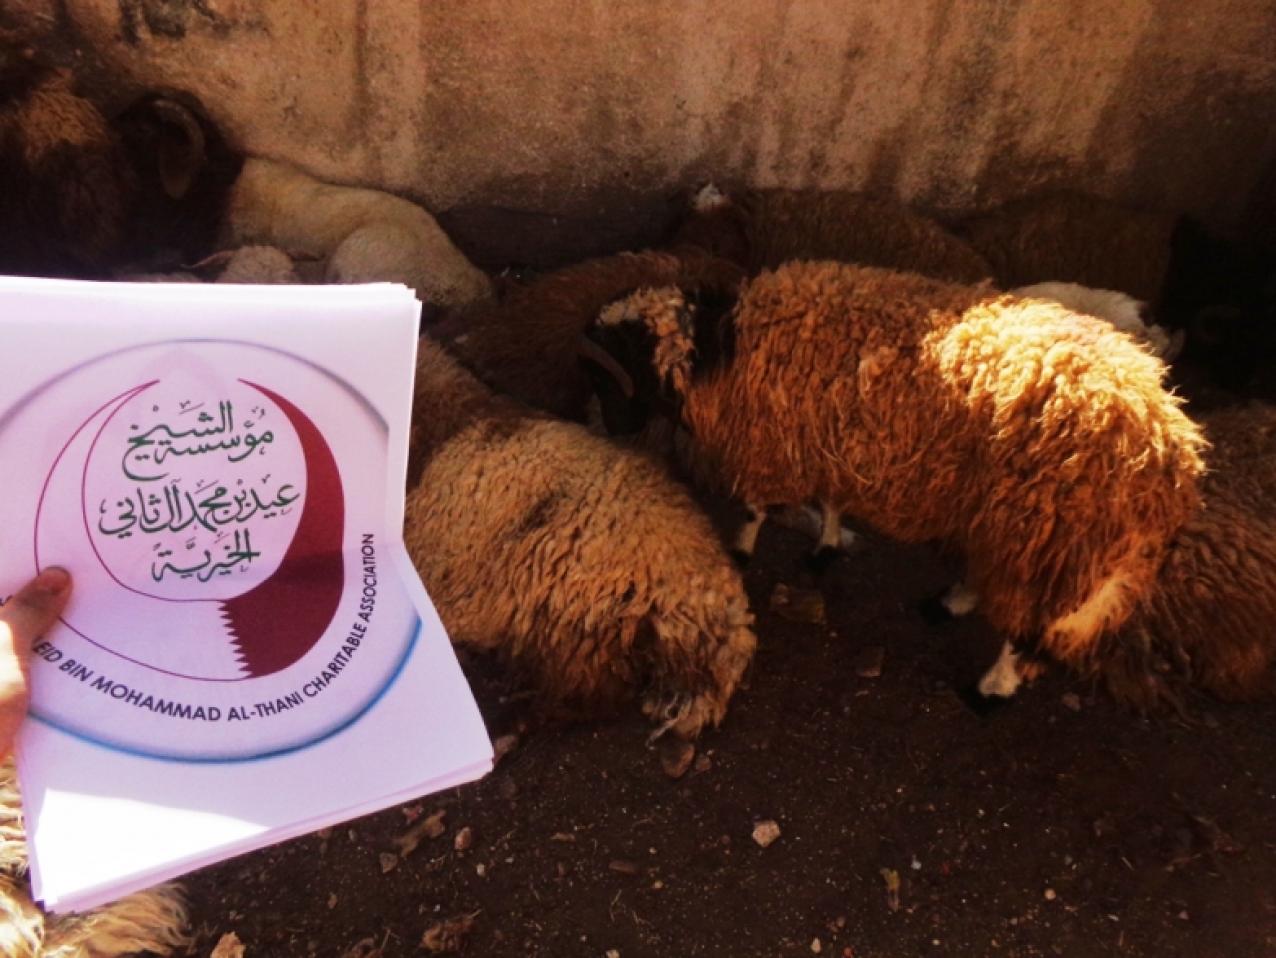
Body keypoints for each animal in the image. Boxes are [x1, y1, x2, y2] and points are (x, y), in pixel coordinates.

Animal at [584, 261, 1208, 691]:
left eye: (615, 371)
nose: (609, 430)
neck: (721, 349)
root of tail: (1167, 446)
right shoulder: (831, 441)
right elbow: (831, 501)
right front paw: (825, 547)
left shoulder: (778, 442)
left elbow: (758, 506)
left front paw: (740, 549)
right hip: (1018, 527)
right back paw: (952, 601)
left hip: (1050, 536)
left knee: (1026, 631)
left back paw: (990, 688)